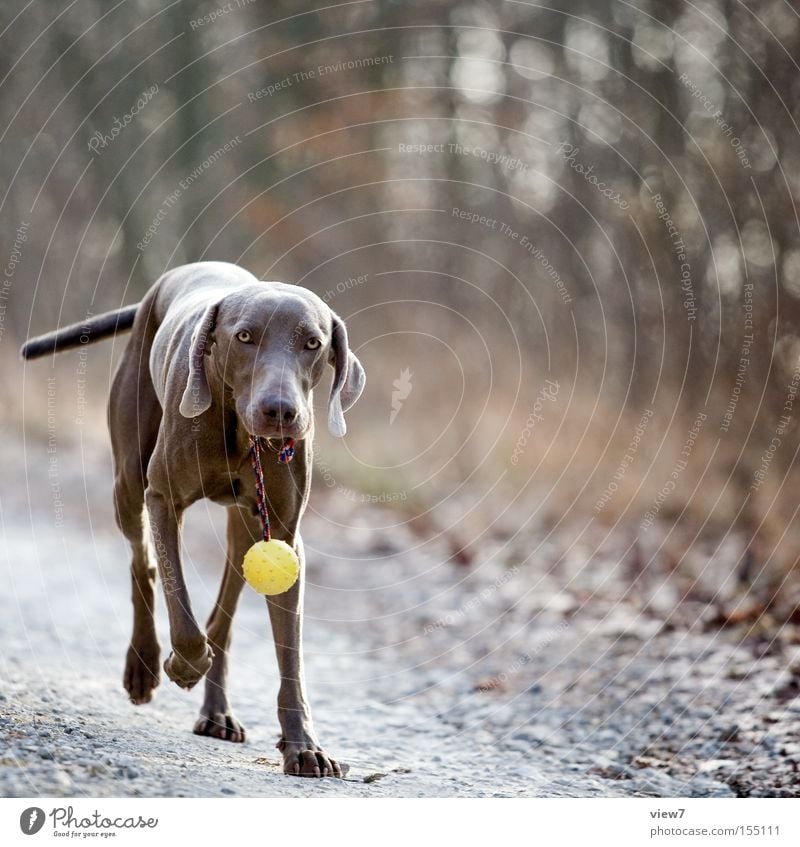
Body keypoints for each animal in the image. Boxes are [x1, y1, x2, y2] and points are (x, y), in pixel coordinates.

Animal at [21, 262, 366, 780]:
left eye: (313, 342)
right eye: (244, 337)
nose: (280, 412)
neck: (238, 430)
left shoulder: (284, 536)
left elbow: (290, 652)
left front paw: (303, 745)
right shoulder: (163, 498)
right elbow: (178, 603)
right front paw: (183, 665)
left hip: (246, 532)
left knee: (222, 617)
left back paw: (216, 713)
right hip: (129, 478)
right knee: (142, 564)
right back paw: (142, 666)